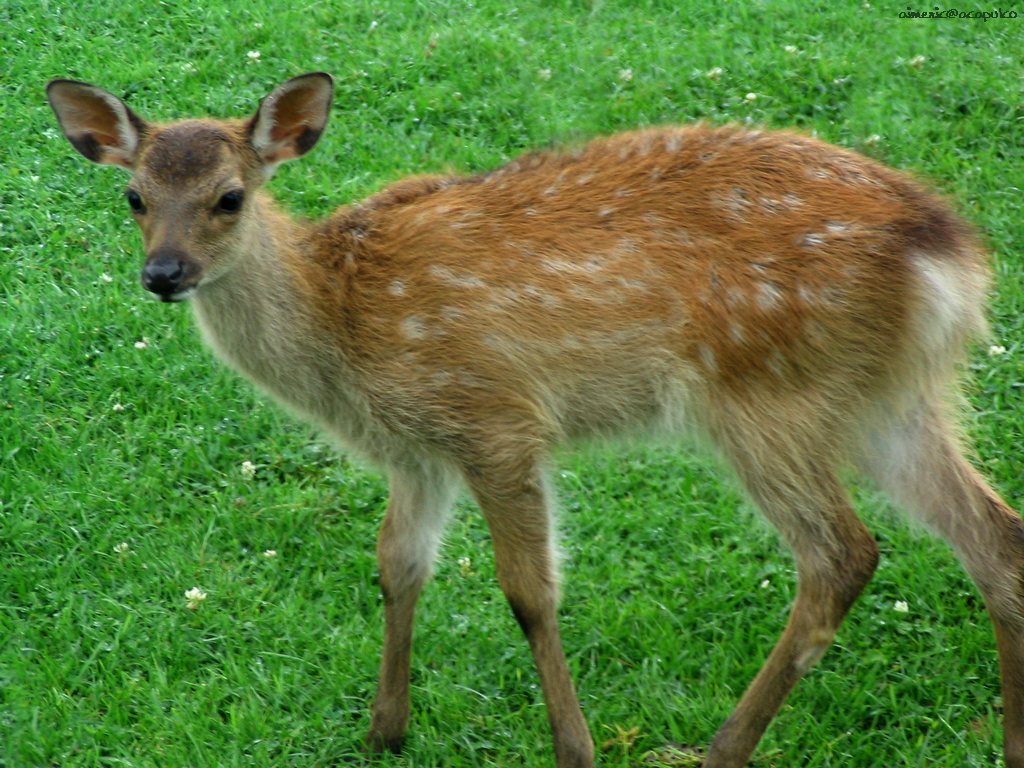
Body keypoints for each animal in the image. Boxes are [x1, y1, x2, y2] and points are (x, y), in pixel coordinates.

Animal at [46, 72, 1024, 767]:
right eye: (133, 197)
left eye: (231, 197)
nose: (164, 273)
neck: (344, 326)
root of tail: (949, 259)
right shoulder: (417, 450)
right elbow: (397, 566)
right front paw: (384, 732)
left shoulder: (494, 418)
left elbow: (528, 592)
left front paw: (574, 748)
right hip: (887, 399)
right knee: (993, 536)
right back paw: (1009, 744)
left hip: (762, 393)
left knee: (843, 554)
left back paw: (719, 748)